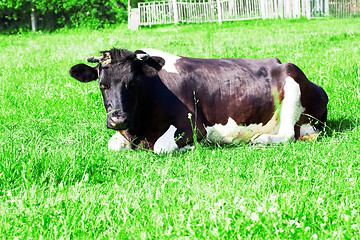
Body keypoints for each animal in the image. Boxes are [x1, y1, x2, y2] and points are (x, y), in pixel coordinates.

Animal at [68, 48, 330, 153]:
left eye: (133, 83)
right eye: (102, 84)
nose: (119, 119)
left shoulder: (193, 127)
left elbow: (161, 147)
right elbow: (112, 144)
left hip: (293, 89)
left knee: (286, 135)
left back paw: (260, 139)